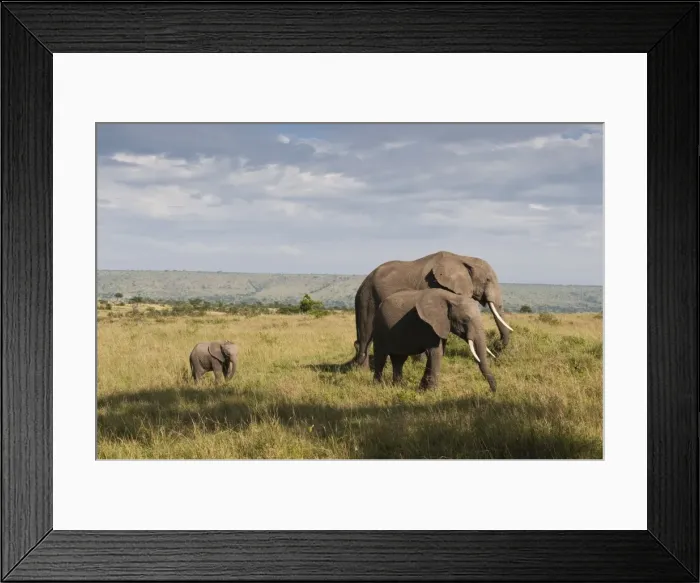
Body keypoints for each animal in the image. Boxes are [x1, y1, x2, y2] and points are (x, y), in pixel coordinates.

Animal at [352, 250, 513, 369]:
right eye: (488, 280)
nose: (497, 345)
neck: (462, 258)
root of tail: (363, 283)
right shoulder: (431, 286)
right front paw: (421, 362)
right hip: (367, 298)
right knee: (366, 335)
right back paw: (362, 370)